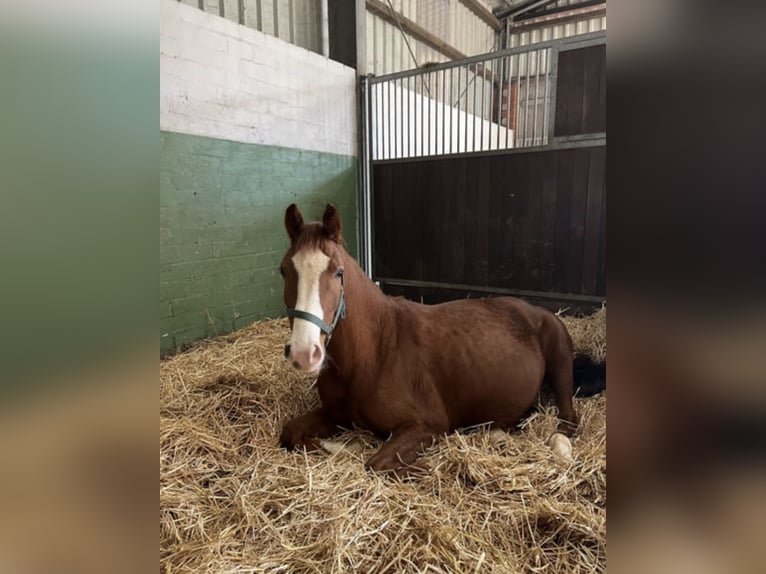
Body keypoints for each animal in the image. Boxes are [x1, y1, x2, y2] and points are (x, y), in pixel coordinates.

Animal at [278, 203, 604, 473]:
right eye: (283, 271)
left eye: (338, 272)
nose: (304, 353)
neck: (372, 355)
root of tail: (535, 310)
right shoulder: (334, 414)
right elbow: (290, 433)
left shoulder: (426, 427)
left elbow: (375, 464)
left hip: (560, 362)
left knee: (567, 419)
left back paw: (559, 448)